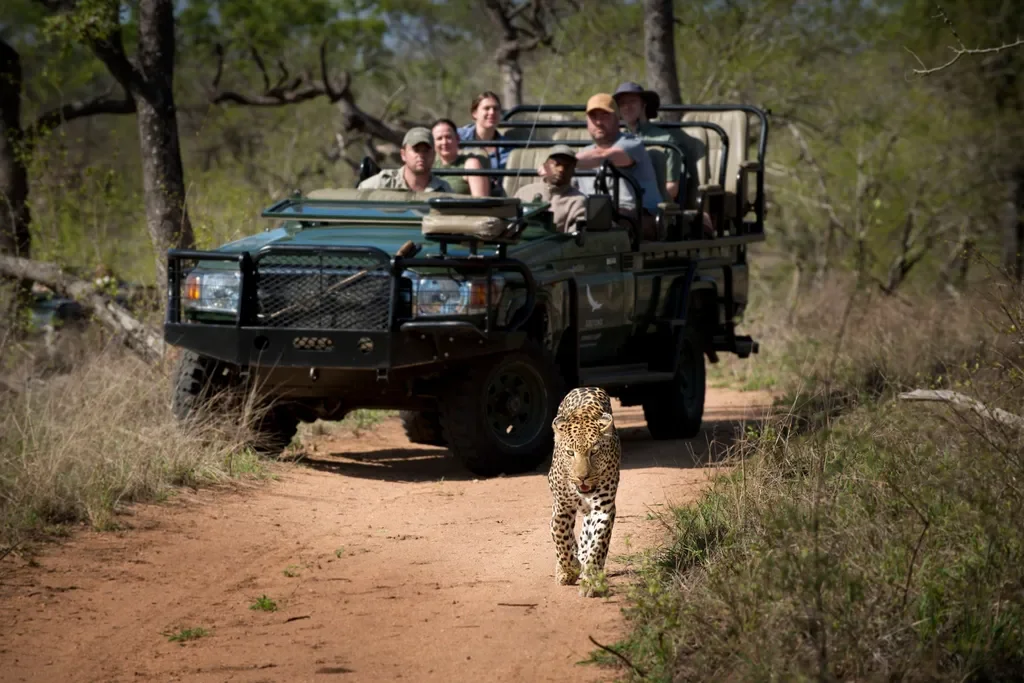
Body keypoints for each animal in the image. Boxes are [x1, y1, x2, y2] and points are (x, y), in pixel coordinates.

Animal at [547, 386, 621, 597]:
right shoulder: (561, 508)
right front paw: (569, 569)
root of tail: (585, 387)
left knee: (587, 535)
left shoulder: (603, 509)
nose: (582, 477)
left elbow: (598, 545)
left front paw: (591, 581)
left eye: (594, 452)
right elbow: (561, 539)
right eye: (570, 453)